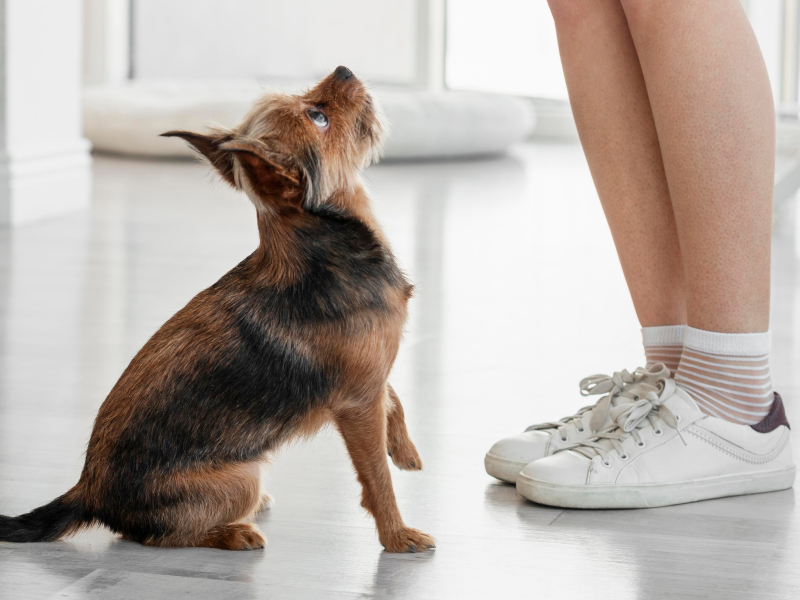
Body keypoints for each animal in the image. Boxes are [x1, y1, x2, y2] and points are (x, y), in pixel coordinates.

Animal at [0, 67, 434, 552]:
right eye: (318, 117)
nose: (344, 70)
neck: (320, 245)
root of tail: (88, 491)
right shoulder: (357, 403)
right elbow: (377, 476)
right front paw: (397, 534)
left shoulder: (371, 378)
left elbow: (393, 398)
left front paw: (405, 449)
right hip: (243, 476)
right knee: (159, 536)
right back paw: (235, 531)